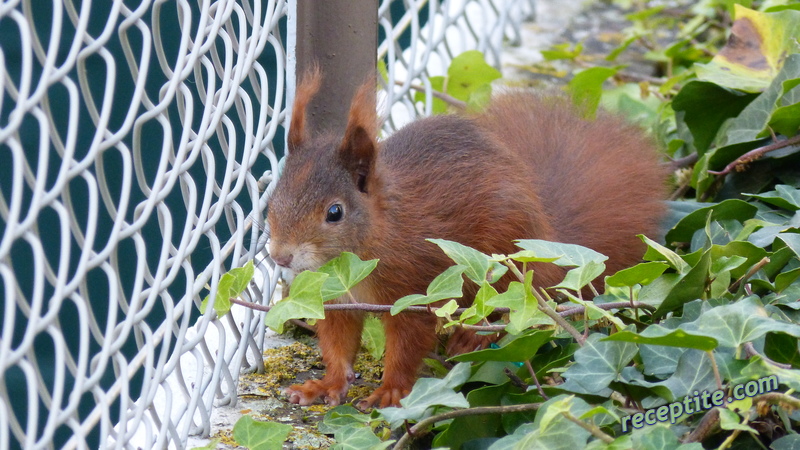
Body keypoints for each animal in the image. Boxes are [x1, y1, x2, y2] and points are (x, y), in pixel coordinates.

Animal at [268, 69, 668, 408]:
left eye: (335, 212)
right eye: (272, 197)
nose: (280, 257)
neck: (357, 259)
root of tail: (547, 239)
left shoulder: (416, 292)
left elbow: (407, 345)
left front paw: (391, 390)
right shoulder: (334, 299)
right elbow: (337, 345)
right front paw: (326, 385)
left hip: (504, 260)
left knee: (511, 305)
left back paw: (474, 337)